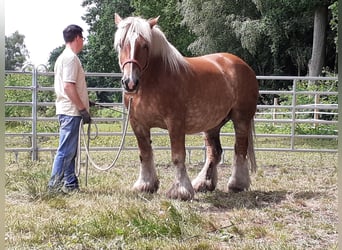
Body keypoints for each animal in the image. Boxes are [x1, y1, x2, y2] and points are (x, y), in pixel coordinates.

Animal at [113, 13, 258, 201]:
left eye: (144, 45)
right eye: (121, 44)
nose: (130, 83)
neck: (154, 80)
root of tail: (243, 65)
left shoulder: (175, 123)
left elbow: (177, 156)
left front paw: (180, 190)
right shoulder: (137, 123)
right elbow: (145, 153)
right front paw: (146, 185)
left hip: (241, 118)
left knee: (239, 149)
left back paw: (237, 184)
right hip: (212, 124)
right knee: (214, 152)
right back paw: (203, 183)